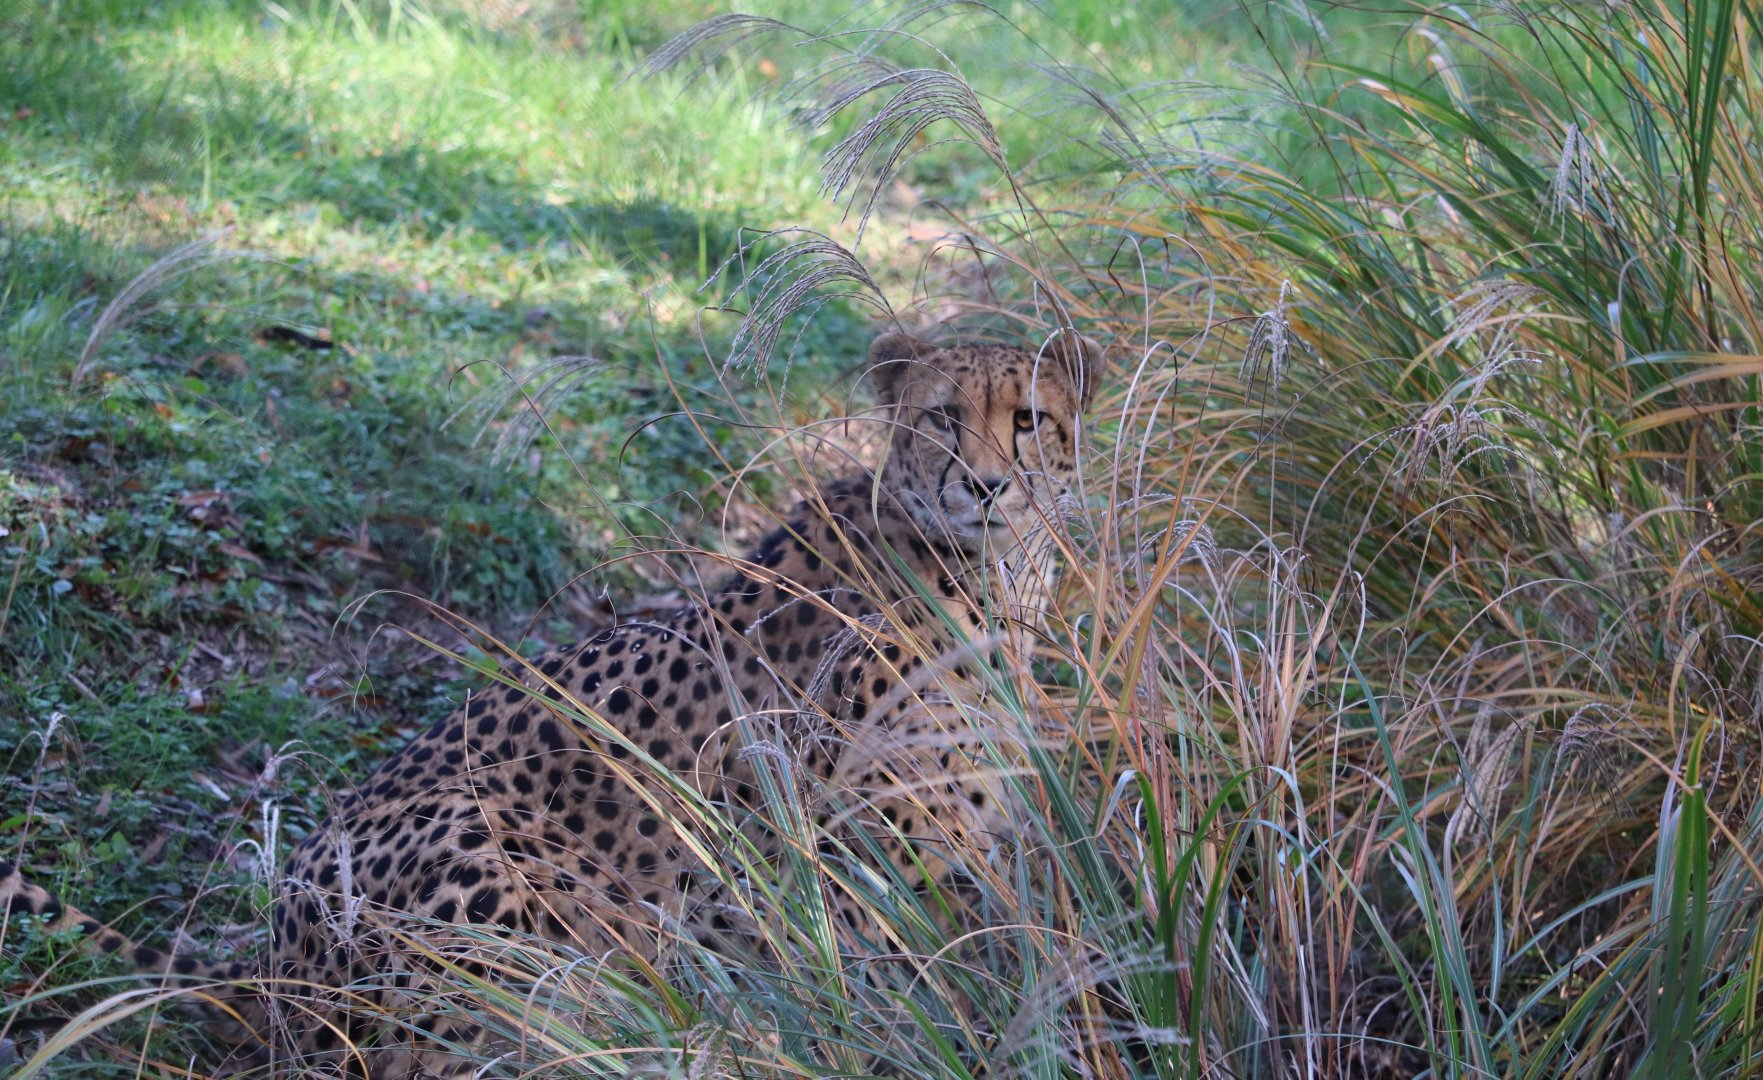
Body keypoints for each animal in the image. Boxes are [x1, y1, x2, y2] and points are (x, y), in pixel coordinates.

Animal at [0, 328, 1098, 1077]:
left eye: (1026, 419)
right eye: (940, 417)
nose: (985, 487)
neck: (982, 572)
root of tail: (266, 956)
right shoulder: (858, 860)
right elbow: (909, 994)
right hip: (469, 843)